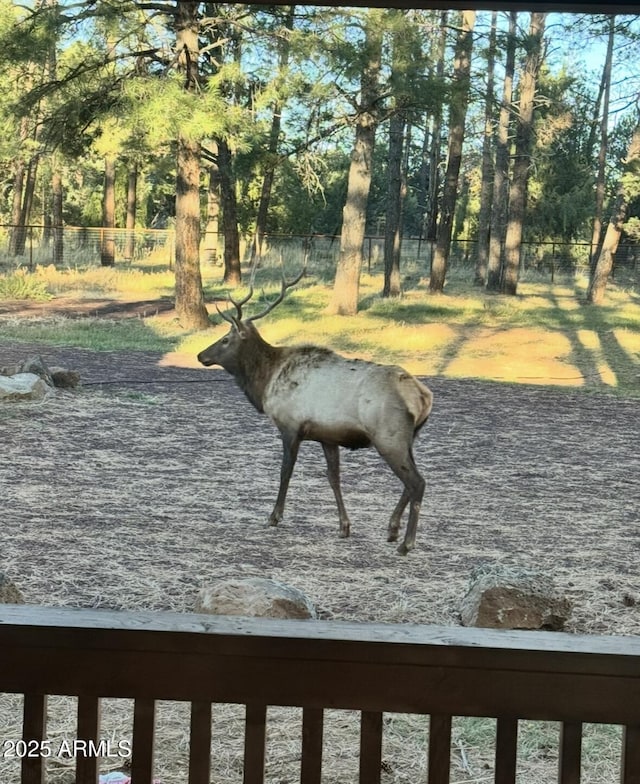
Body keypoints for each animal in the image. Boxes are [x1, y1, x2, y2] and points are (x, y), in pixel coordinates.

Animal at [198, 272, 432, 556]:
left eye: (225, 339)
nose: (200, 355)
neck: (265, 381)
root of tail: (422, 396)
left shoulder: (290, 426)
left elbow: (285, 471)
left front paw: (274, 516)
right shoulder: (328, 437)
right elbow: (334, 478)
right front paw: (344, 526)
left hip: (388, 436)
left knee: (416, 482)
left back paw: (406, 543)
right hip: (408, 438)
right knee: (411, 481)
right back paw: (392, 529)